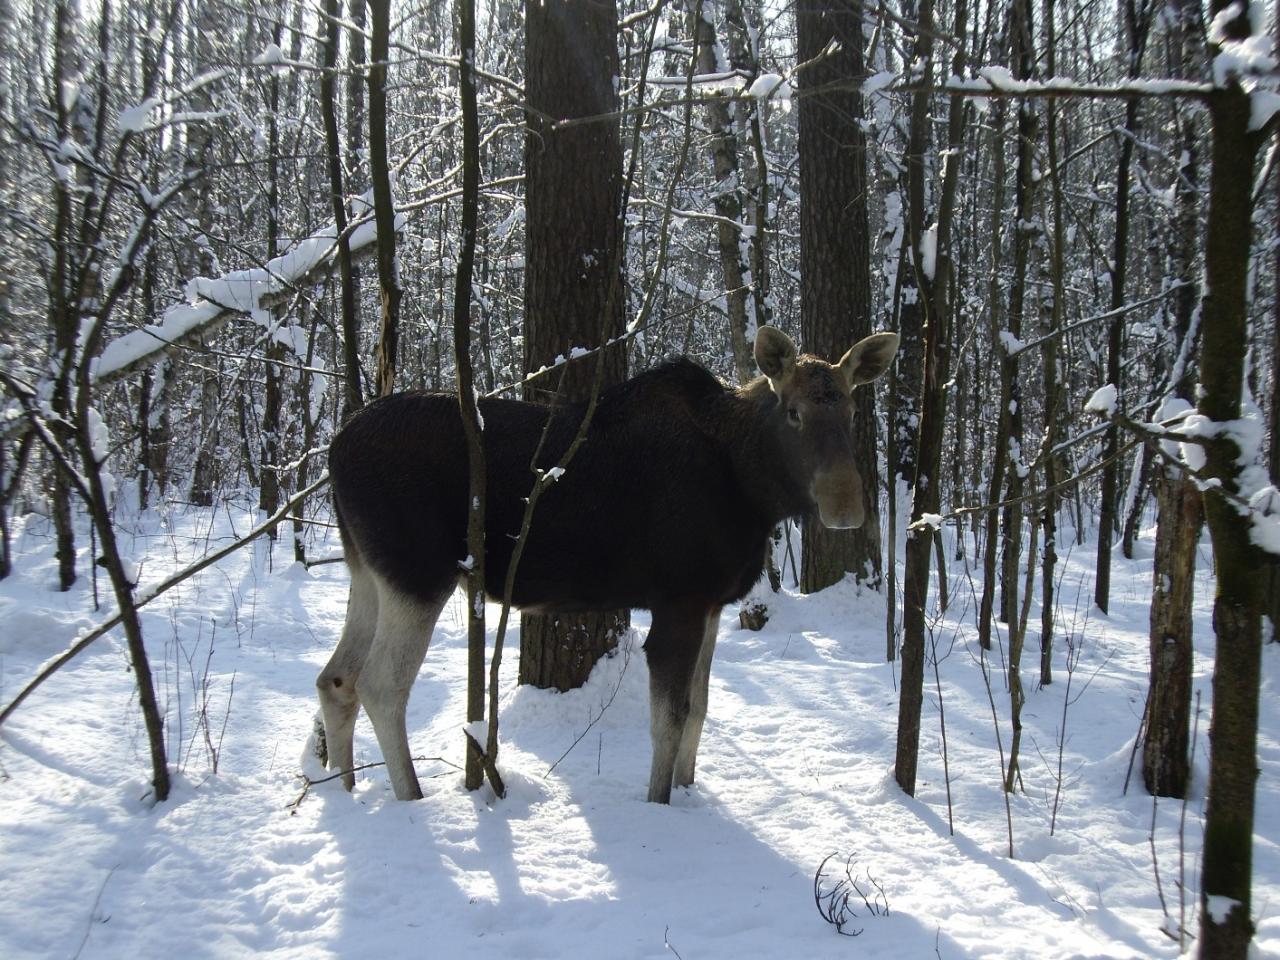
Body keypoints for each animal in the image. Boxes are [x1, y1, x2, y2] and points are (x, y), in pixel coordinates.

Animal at [313, 327, 896, 808]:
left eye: (850, 410)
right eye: (794, 411)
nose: (846, 506)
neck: (752, 490)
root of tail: (334, 450)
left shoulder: (712, 601)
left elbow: (701, 708)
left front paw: (689, 791)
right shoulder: (680, 600)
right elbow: (670, 720)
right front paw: (661, 805)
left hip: (367, 572)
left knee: (336, 678)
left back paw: (342, 789)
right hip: (418, 572)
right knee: (381, 684)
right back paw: (409, 798)